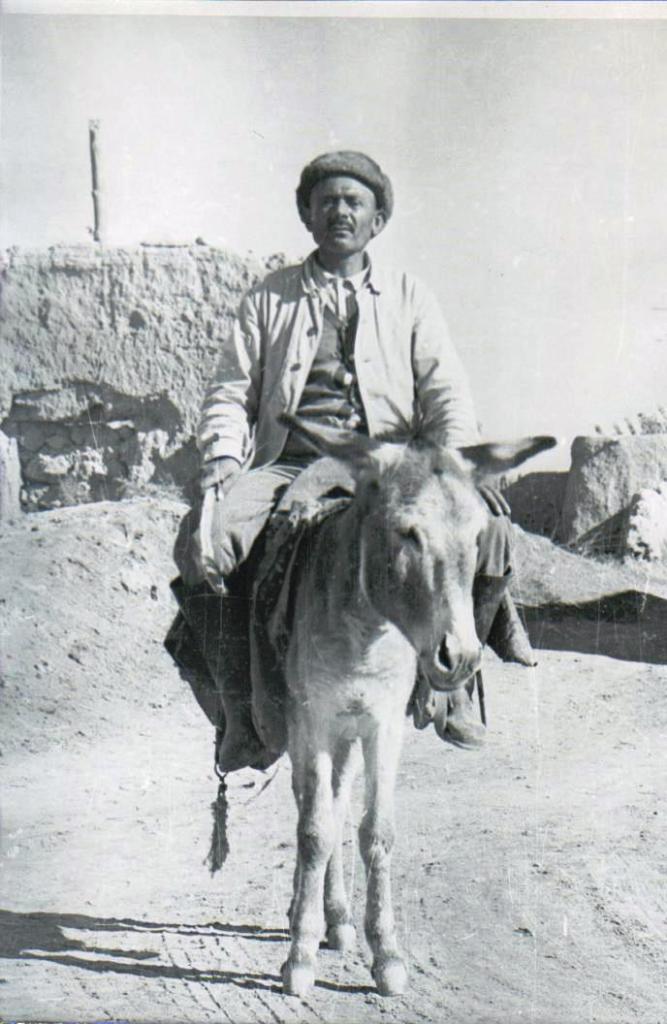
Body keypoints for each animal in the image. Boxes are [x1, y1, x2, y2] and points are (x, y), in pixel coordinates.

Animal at [274, 413, 555, 998]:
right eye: (407, 532)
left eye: (476, 537)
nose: (461, 656)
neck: (365, 632)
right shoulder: (312, 720)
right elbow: (313, 830)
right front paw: (299, 957)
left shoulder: (382, 725)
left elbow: (376, 832)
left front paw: (386, 954)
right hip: (308, 728)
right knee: (313, 806)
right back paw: (307, 916)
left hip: (350, 733)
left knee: (339, 801)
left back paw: (339, 920)